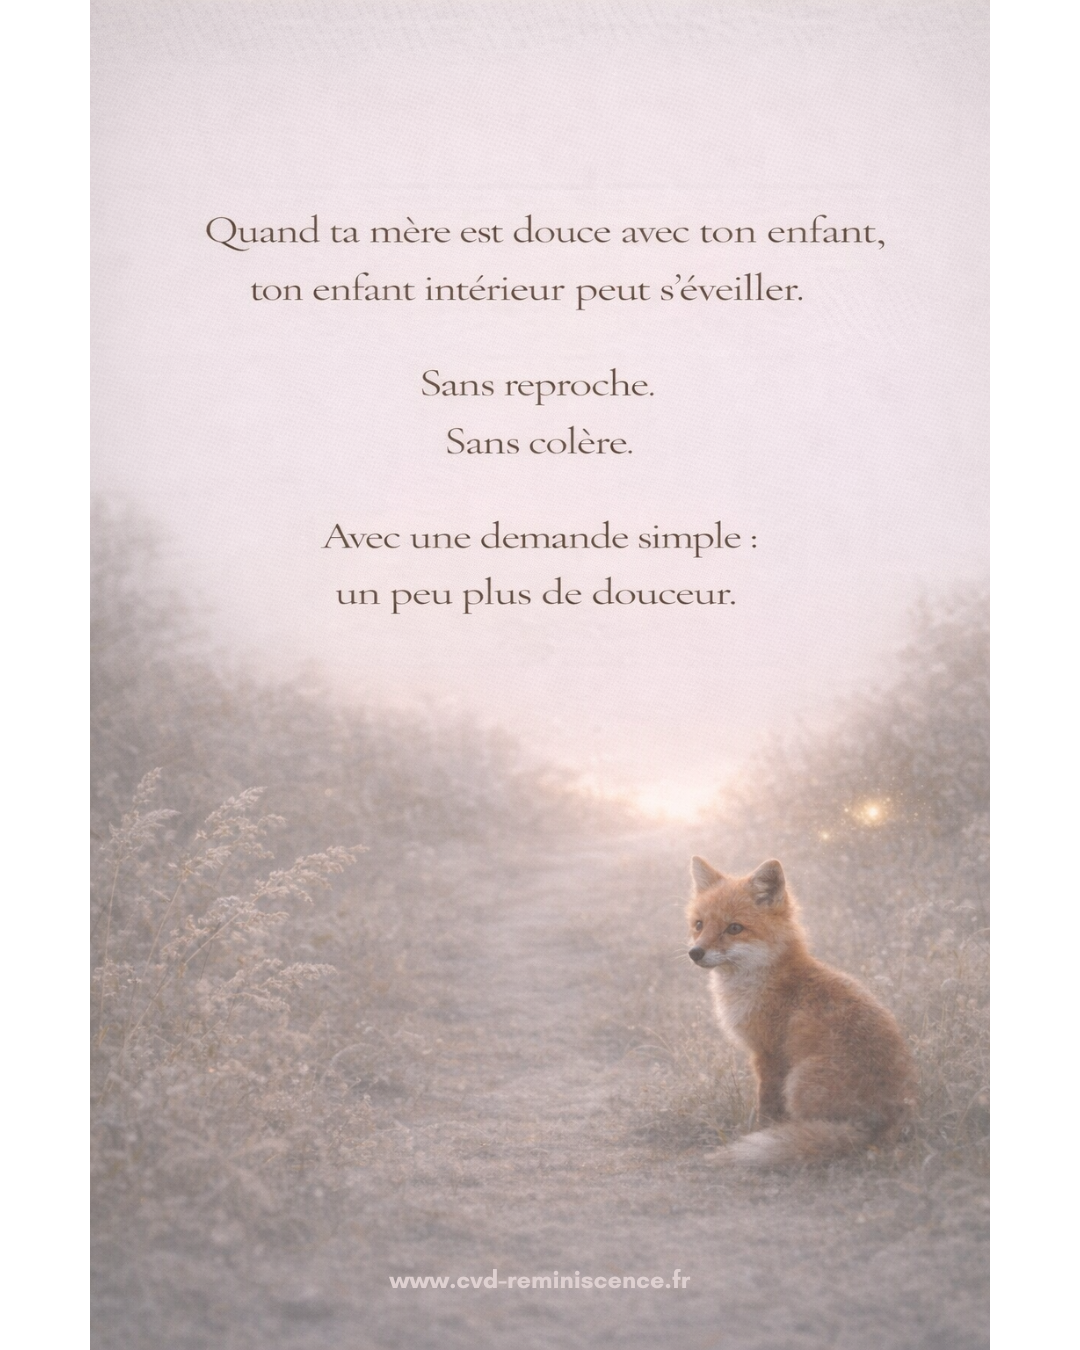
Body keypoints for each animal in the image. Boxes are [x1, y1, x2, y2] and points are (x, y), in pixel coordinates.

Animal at [687, 856, 917, 1166]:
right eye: (699, 925)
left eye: (734, 928)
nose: (695, 953)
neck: (767, 978)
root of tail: (882, 1125)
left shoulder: (768, 1054)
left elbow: (766, 1109)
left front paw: (759, 1131)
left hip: (796, 1081)